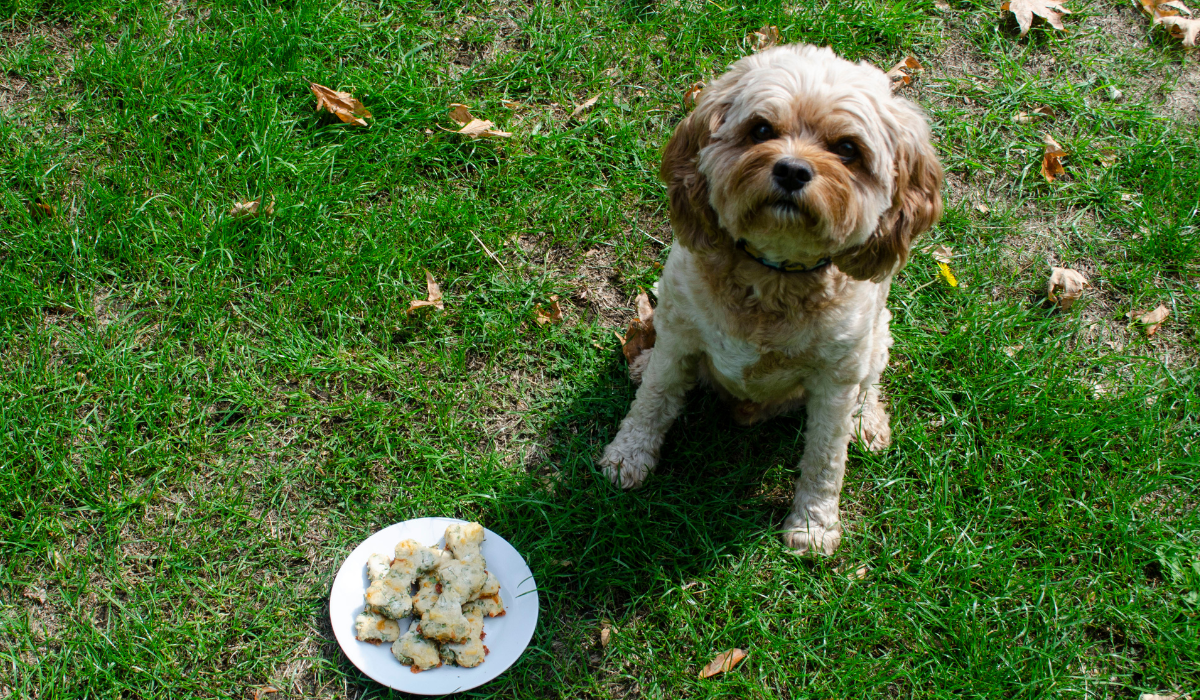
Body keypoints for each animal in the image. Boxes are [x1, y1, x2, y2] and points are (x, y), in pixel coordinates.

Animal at [600, 45, 945, 559]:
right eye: (761, 129)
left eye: (848, 149)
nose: (791, 169)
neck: (772, 277)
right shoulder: (679, 331)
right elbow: (653, 400)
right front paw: (628, 456)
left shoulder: (836, 381)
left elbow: (826, 459)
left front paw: (814, 525)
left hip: (878, 336)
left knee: (871, 384)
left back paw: (869, 423)